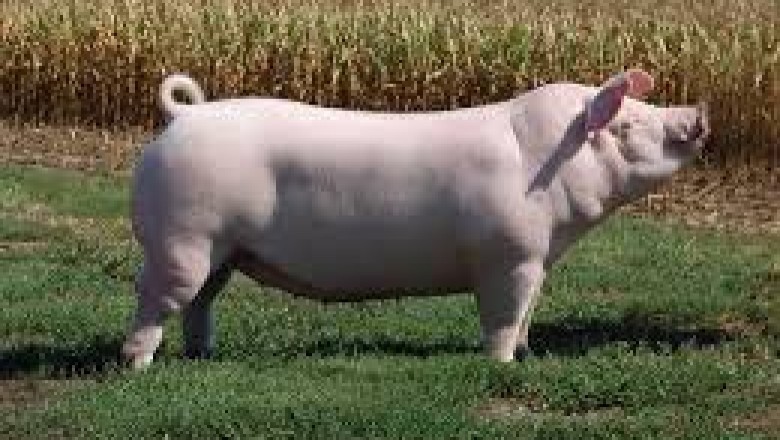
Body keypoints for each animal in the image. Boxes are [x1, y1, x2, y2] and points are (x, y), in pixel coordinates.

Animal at [122, 69, 709, 369]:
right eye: (626, 126)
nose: (698, 113)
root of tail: (186, 115)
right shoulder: (506, 255)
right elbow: (503, 314)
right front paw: (501, 365)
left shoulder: (537, 257)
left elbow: (528, 312)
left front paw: (526, 353)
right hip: (183, 235)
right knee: (154, 295)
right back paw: (137, 365)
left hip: (221, 249)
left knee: (201, 301)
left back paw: (202, 354)